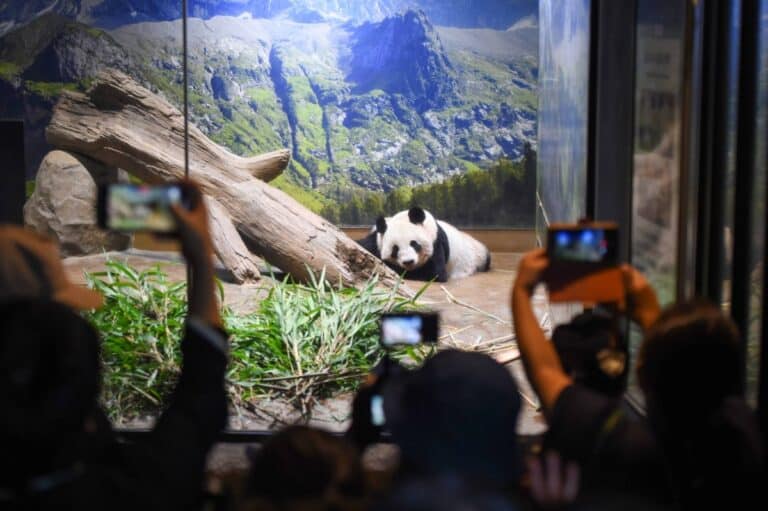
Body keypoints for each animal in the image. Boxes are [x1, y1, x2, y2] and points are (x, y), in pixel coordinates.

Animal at [357, 207, 491, 282]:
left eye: (414, 244)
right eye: (395, 249)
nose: (408, 262)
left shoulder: (436, 242)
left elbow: (435, 274)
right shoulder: (376, 240)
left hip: (477, 256)